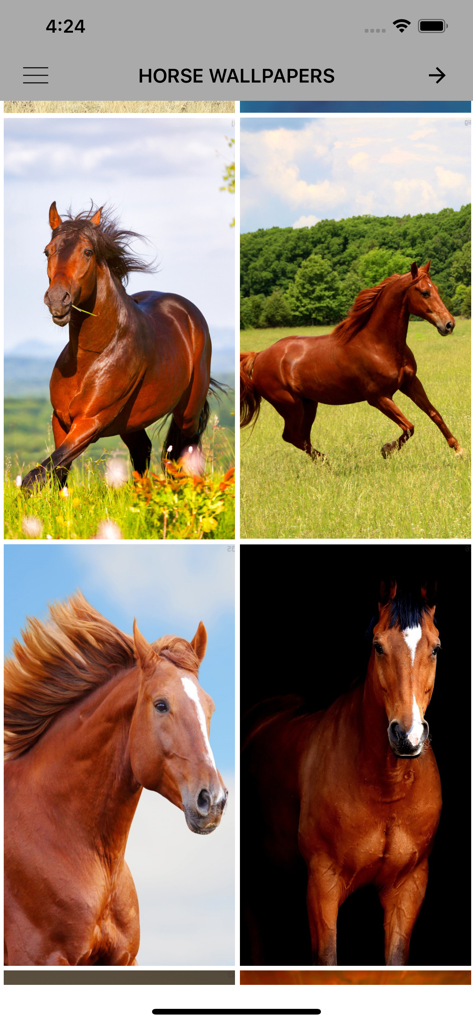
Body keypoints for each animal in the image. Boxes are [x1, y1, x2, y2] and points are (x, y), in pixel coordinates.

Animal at [21, 202, 219, 492]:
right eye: (48, 250)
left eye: (88, 252)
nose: (57, 300)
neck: (91, 355)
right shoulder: (61, 420)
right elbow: (57, 472)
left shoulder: (90, 422)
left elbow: (36, 475)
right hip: (131, 421)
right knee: (142, 450)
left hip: (188, 413)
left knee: (185, 454)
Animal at [241, 262, 463, 460]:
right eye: (424, 292)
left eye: (436, 289)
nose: (449, 324)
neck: (377, 344)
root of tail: (259, 355)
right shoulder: (378, 397)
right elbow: (409, 427)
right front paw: (386, 449)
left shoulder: (410, 383)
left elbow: (434, 414)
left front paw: (458, 449)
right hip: (290, 406)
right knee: (292, 436)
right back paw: (327, 461)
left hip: (308, 404)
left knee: (301, 437)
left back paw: (324, 462)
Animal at [242, 580, 442, 966]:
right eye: (378, 646)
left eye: (436, 648)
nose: (407, 735)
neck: (386, 788)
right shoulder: (323, 882)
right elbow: (327, 959)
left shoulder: (409, 886)